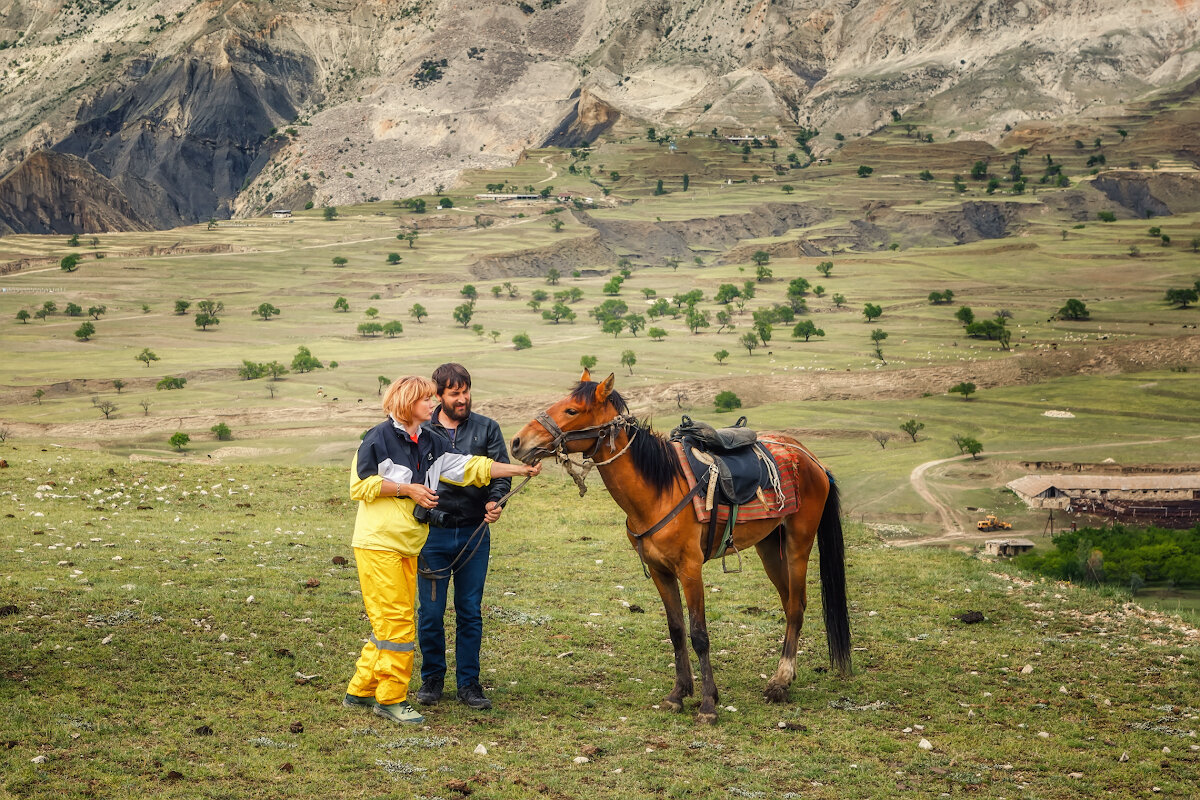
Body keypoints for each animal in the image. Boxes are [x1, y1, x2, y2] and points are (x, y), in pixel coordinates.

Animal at [511, 371, 849, 724]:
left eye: (572, 410)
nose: (518, 442)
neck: (659, 490)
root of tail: (812, 459)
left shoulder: (690, 569)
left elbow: (699, 635)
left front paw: (708, 704)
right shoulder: (660, 570)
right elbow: (675, 630)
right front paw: (678, 694)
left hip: (798, 545)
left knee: (795, 607)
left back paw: (779, 683)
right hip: (771, 547)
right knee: (791, 604)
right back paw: (787, 675)